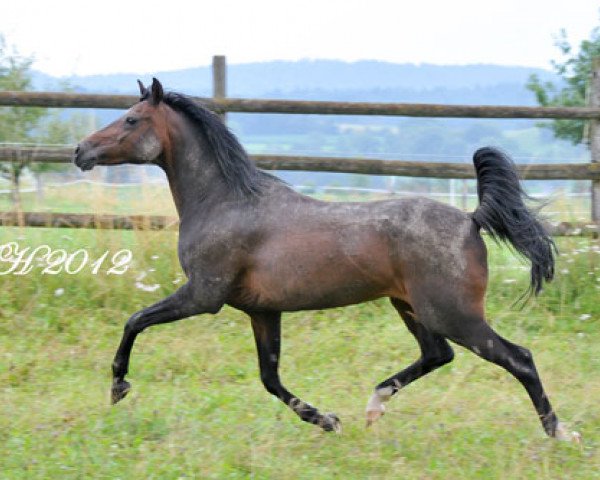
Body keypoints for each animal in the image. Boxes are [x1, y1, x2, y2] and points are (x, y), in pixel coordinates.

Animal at [72, 79, 580, 442]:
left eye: (131, 120)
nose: (80, 150)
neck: (225, 202)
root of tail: (472, 220)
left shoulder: (203, 295)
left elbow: (135, 321)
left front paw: (118, 387)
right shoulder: (262, 311)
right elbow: (270, 378)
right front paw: (328, 420)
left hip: (453, 313)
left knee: (519, 359)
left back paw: (560, 433)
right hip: (412, 307)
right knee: (438, 354)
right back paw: (374, 405)